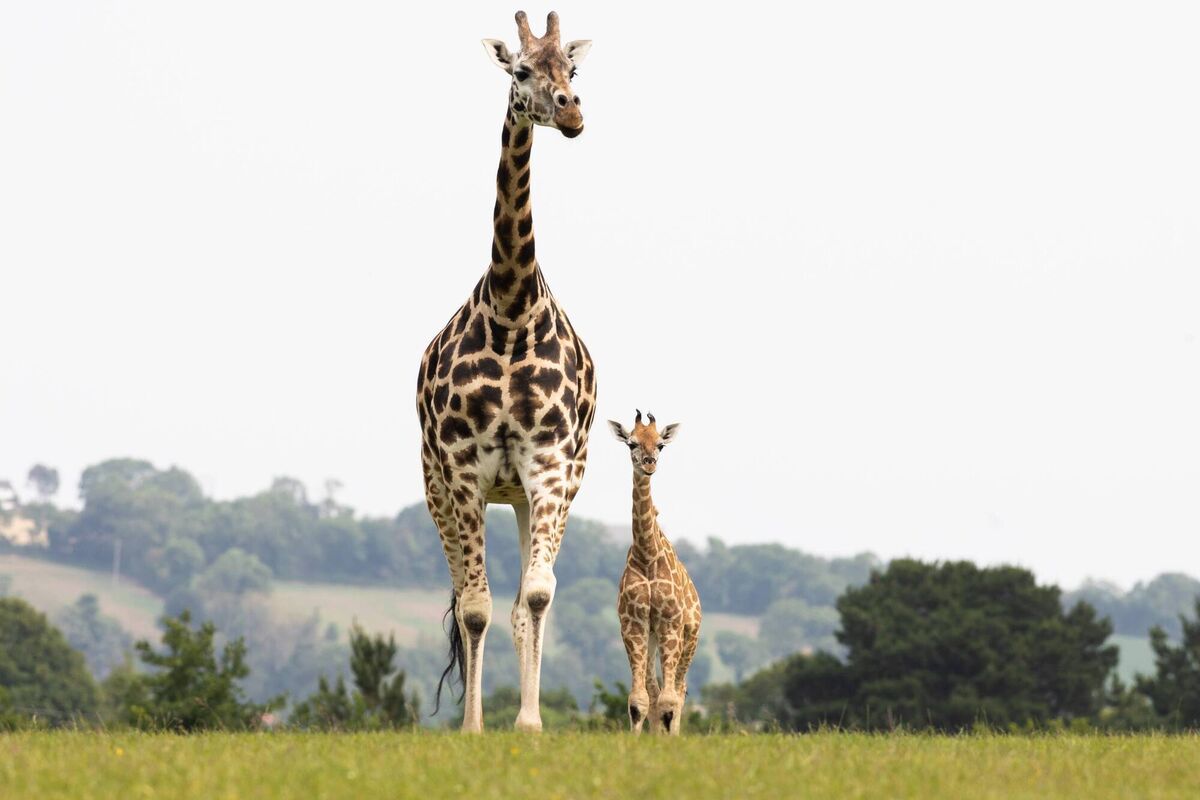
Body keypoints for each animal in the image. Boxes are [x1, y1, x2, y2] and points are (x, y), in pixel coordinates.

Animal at [415, 10, 596, 734]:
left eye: (570, 69)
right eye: (521, 71)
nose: (571, 112)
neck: (513, 305)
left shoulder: (548, 466)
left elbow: (536, 598)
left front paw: (529, 725)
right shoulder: (462, 468)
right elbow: (473, 606)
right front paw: (472, 728)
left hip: (530, 493)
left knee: (521, 601)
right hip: (441, 487)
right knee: (469, 594)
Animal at [608, 410, 701, 735]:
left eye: (660, 444)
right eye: (631, 443)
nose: (648, 463)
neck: (647, 555)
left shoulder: (670, 622)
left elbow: (669, 701)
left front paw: (667, 739)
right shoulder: (632, 623)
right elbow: (640, 699)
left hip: (688, 636)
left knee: (680, 689)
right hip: (651, 637)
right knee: (654, 688)